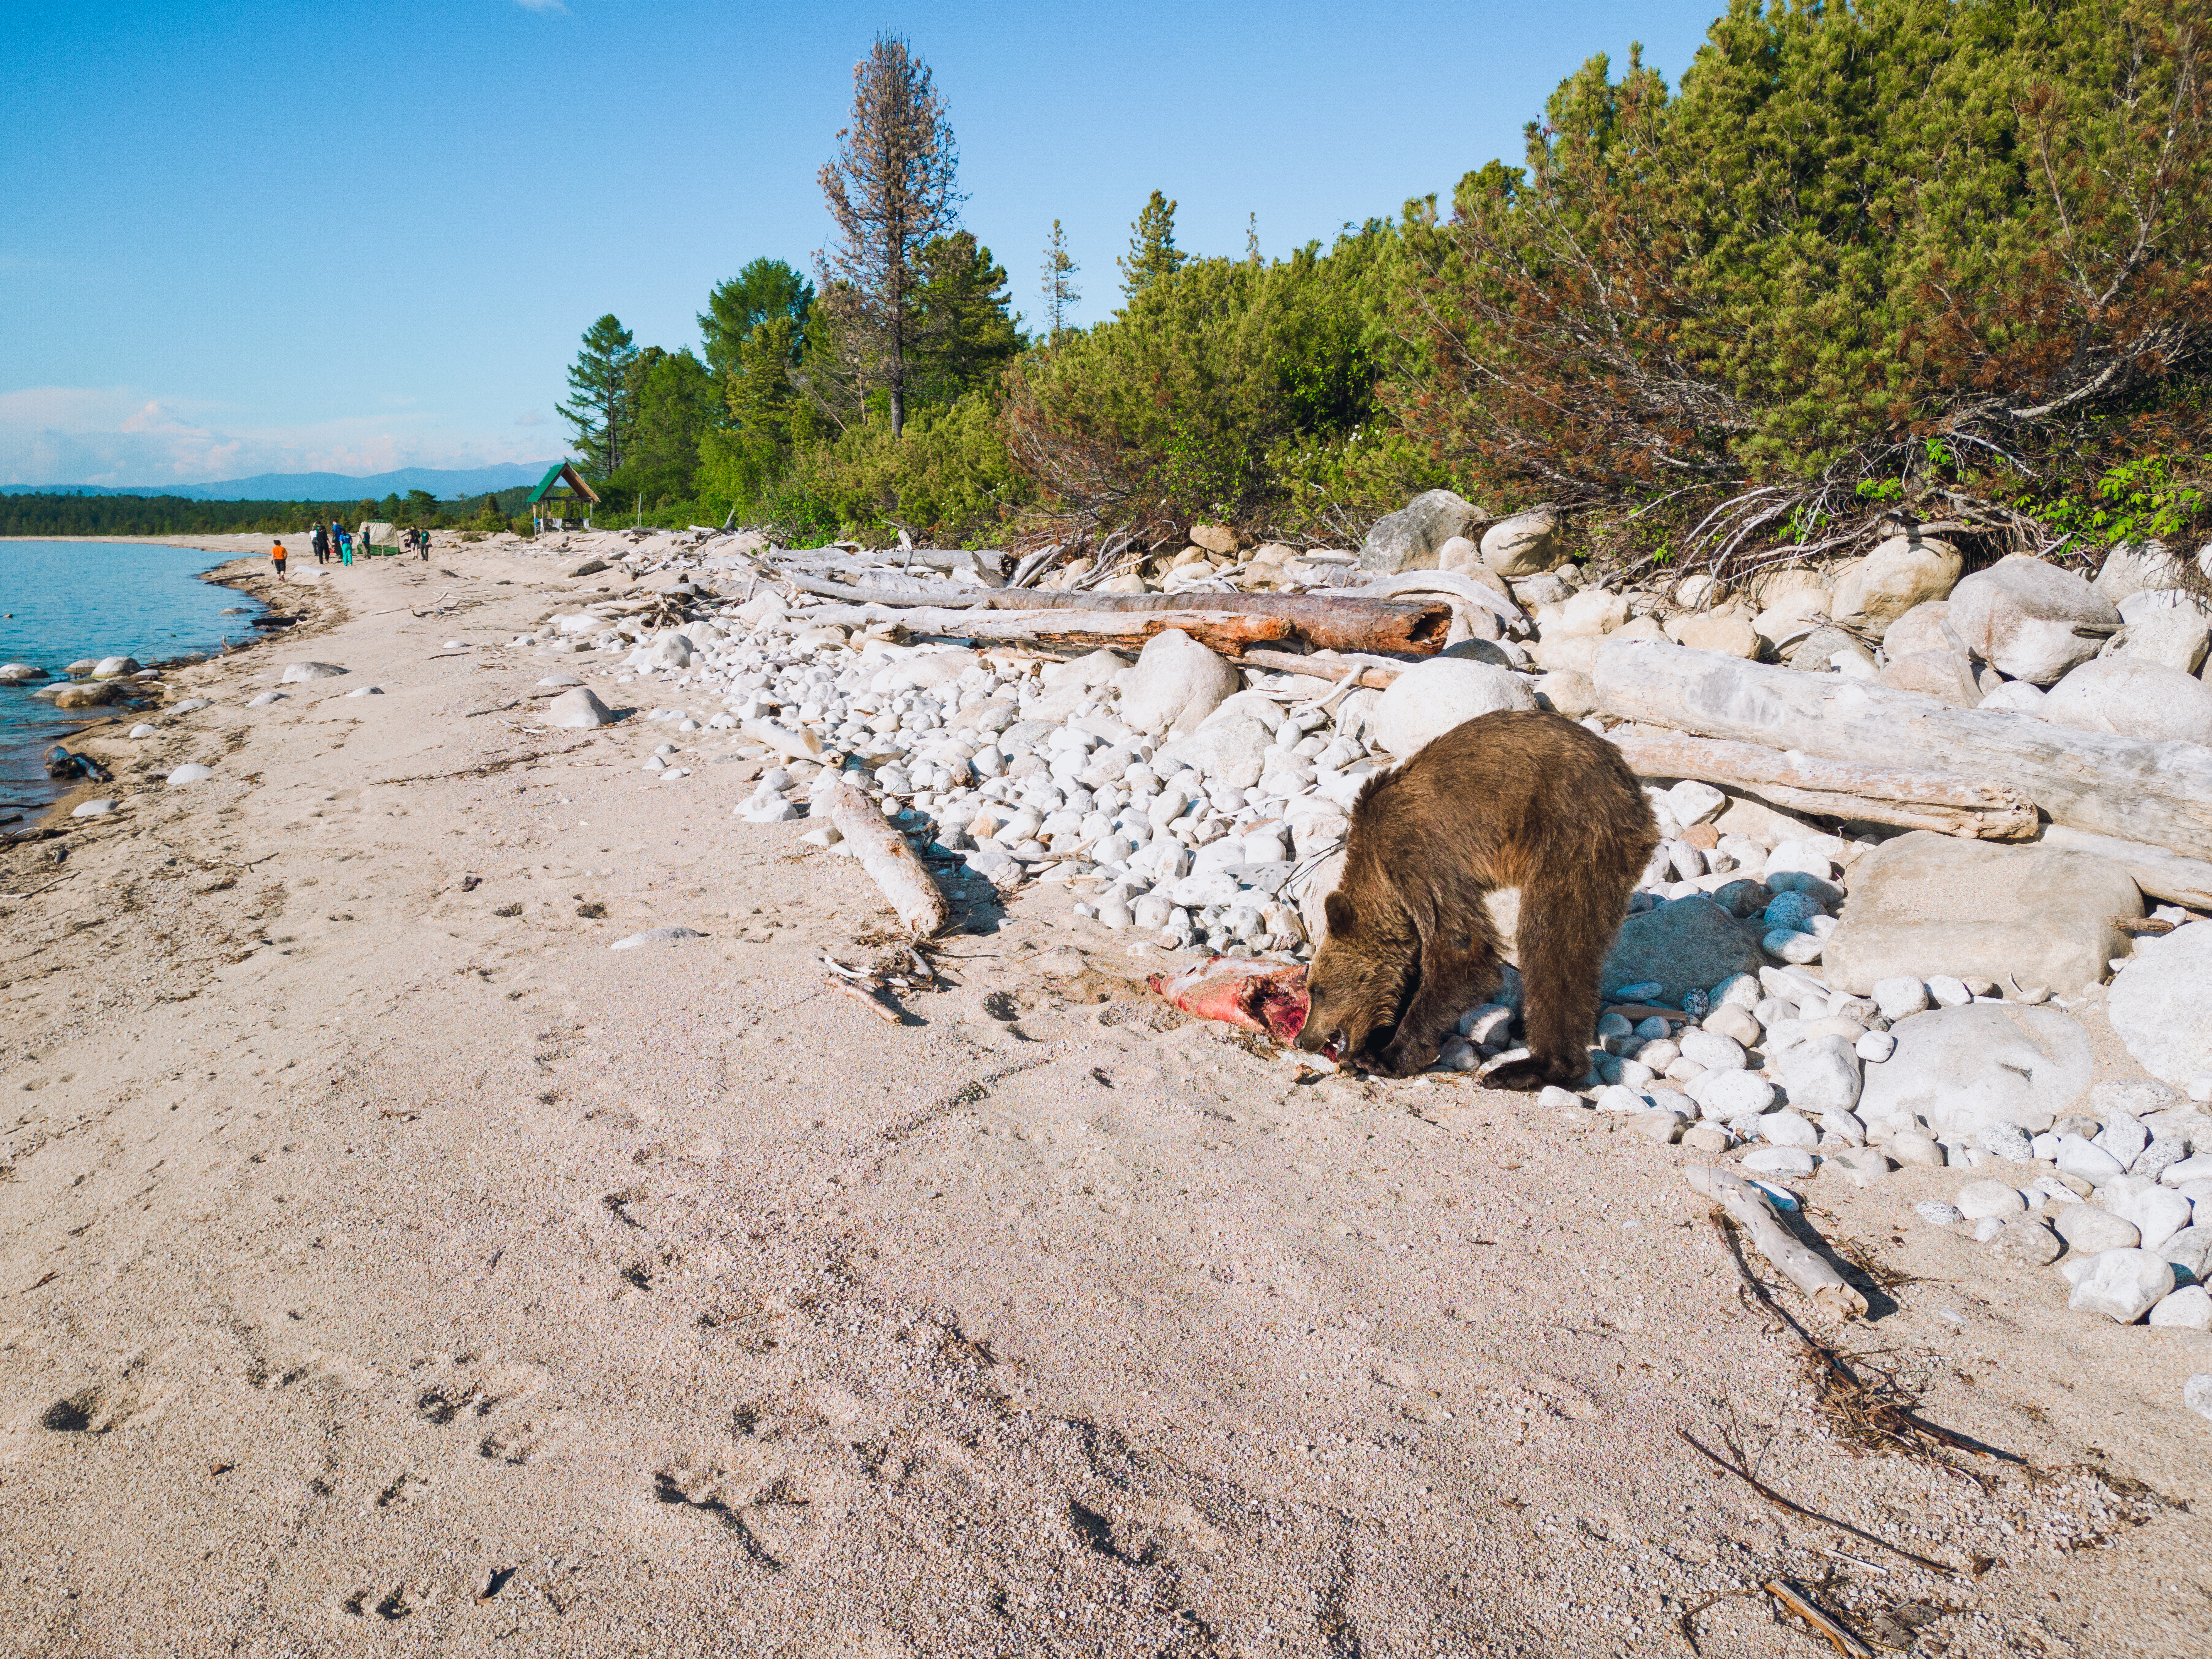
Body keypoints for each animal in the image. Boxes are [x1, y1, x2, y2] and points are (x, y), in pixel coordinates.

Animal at [1295, 709, 1657, 1085]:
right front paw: (1373, 1045)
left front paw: (1388, 1057)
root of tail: (1632, 788)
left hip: (1574, 832)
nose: (1302, 1039)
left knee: (1550, 943)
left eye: (1316, 990)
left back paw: (1534, 1067)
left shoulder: (1417, 852)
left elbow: (1462, 949)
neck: (1379, 877)